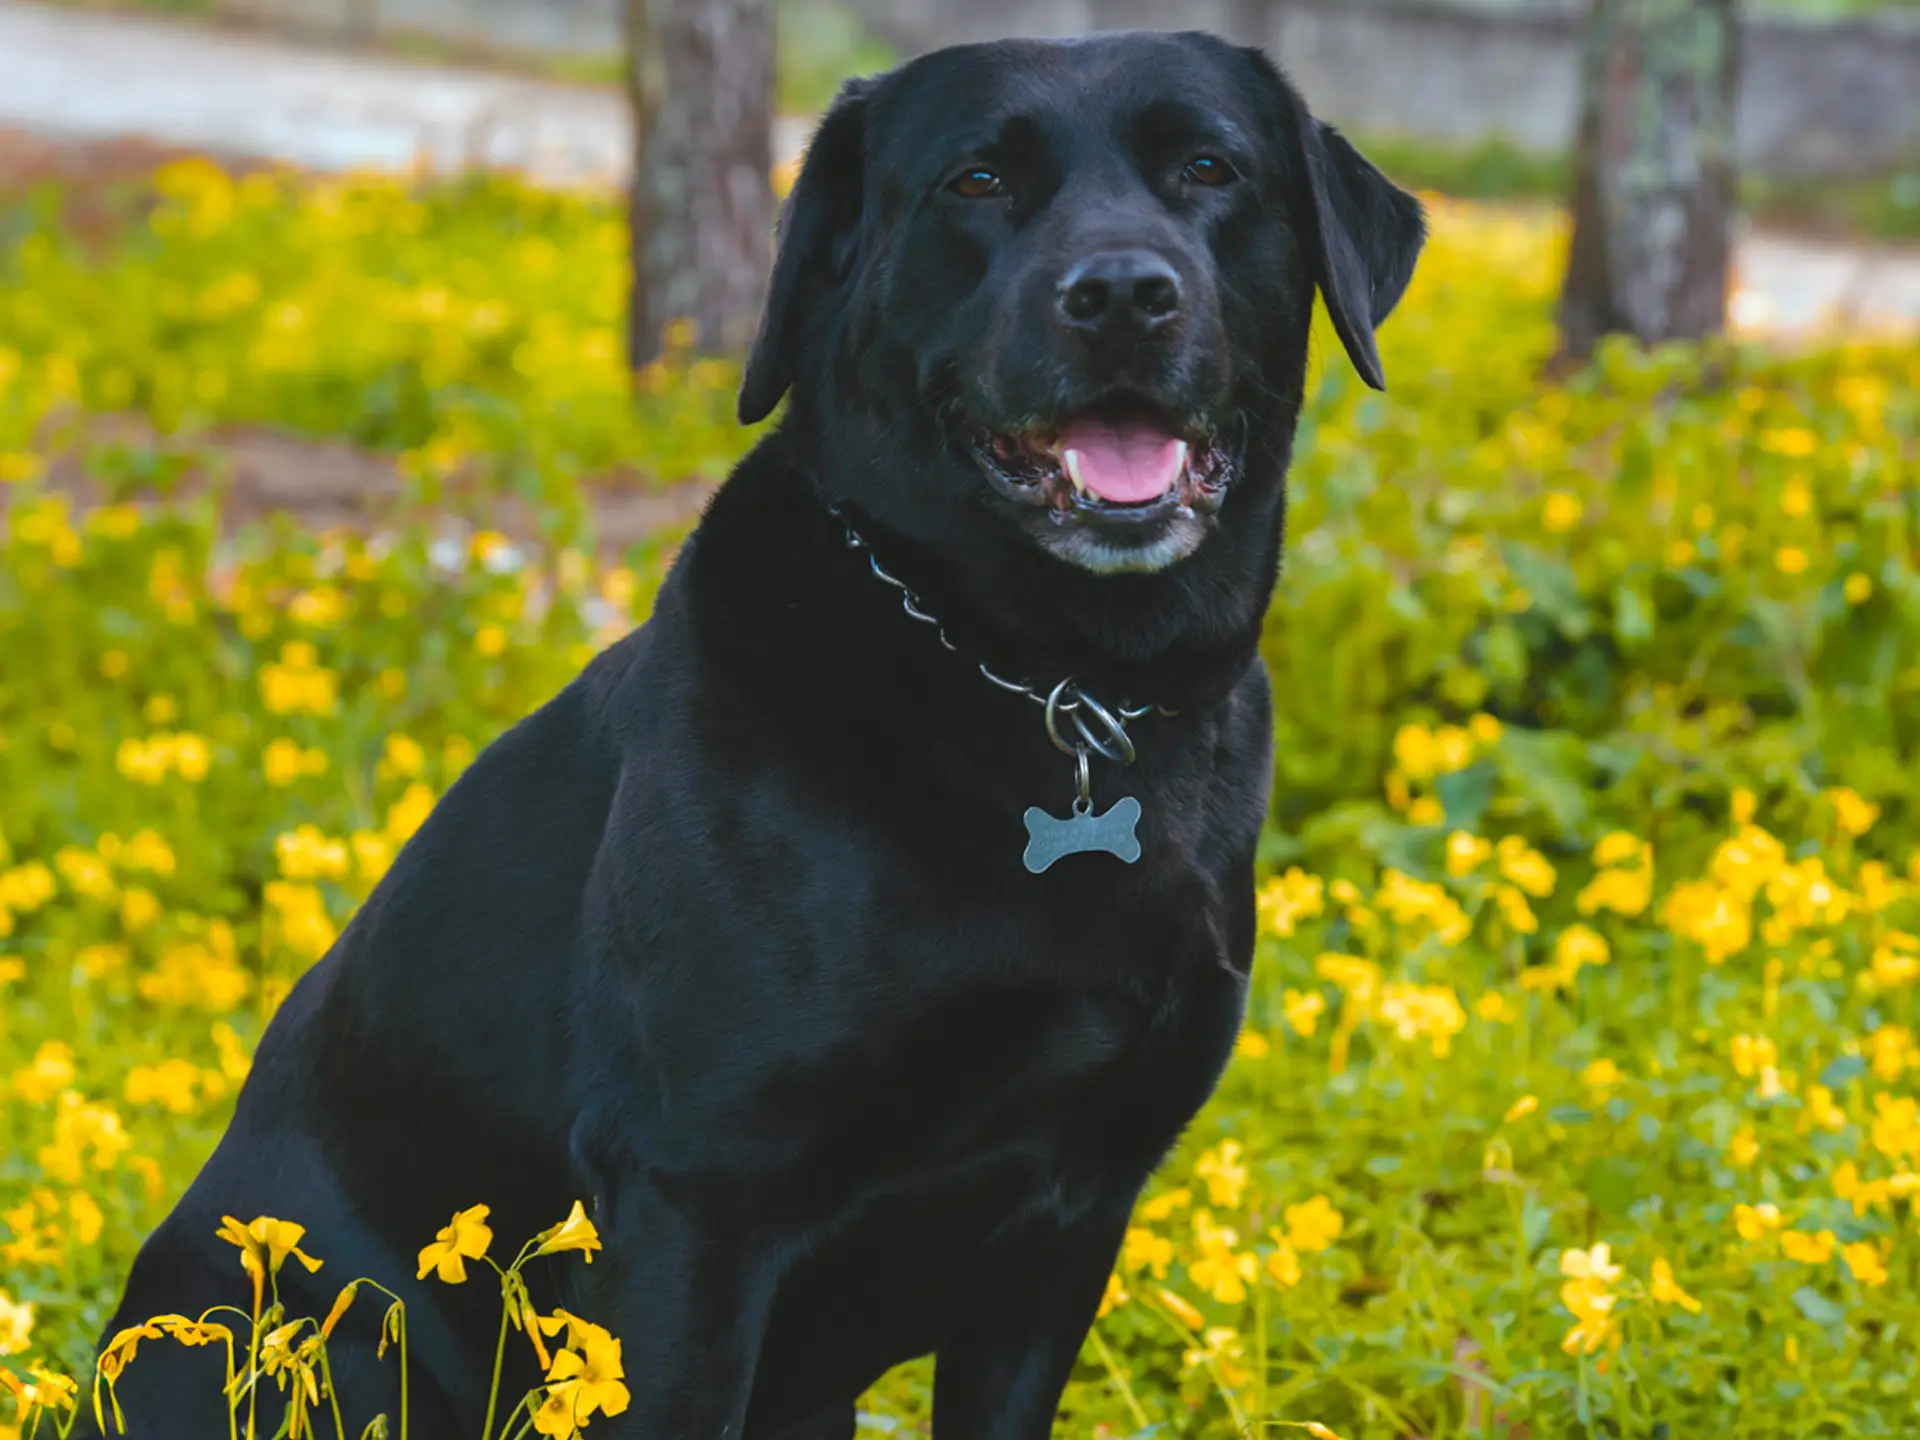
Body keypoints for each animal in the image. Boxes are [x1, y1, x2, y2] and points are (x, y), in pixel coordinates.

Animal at [97, 28, 1420, 1436]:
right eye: (979, 180)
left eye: (1210, 169)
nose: (1122, 292)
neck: (1059, 683)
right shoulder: (699, 1203)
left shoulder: (1073, 1221)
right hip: (326, 1343)